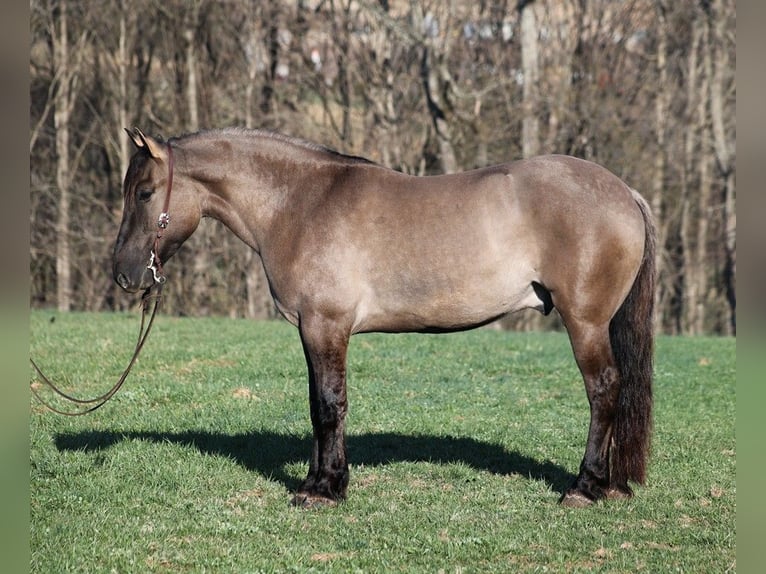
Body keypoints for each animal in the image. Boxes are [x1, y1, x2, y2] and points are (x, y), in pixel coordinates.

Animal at [115, 128, 660, 510]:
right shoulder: (314, 331)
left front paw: (324, 490)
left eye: (143, 193)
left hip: (585, 322)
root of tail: (625, 192)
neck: (300, 203)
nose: (124, 274)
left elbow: (329, 406)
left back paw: (585, 487)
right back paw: (610, 486)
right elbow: (317, 406)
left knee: (604, 390)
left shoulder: (325, 326)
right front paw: (318, 481)